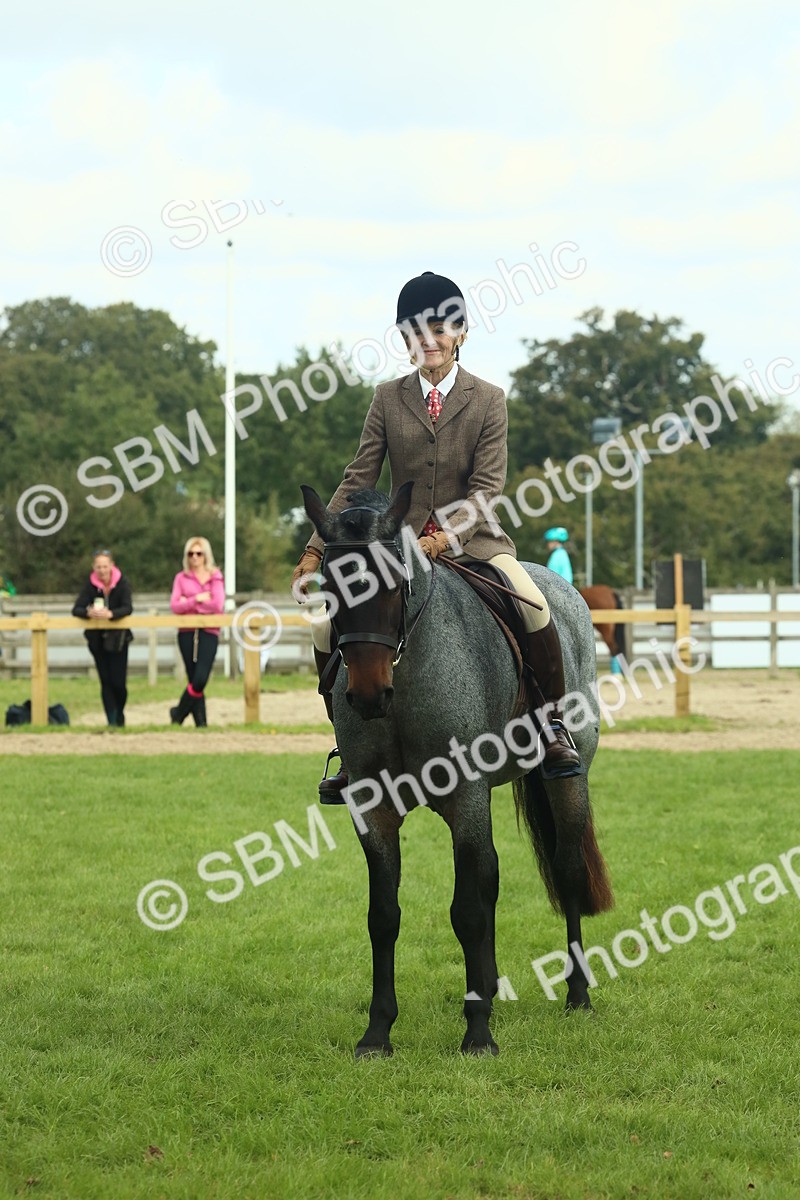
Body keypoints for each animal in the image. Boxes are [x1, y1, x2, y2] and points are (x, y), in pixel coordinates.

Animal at [301, 483, 613, 1057]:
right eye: (329, 587)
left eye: (394, 582)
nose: (367, 695)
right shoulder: (373, 806)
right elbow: (384, 915)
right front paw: (377, 1033)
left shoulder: (467, 795)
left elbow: (467, 909)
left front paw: (478, 1034)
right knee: (492, 879)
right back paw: (489, 987)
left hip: (569, 778)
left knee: (566, 869)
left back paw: (577, 994)